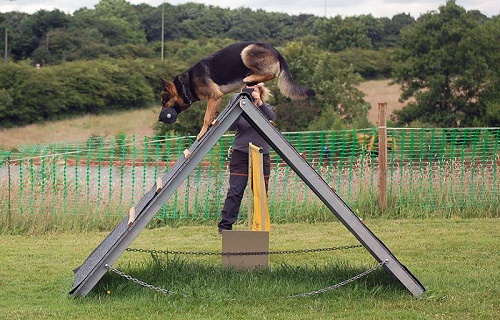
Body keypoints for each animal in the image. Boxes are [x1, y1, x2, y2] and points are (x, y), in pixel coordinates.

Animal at [160, 41, 314, 140]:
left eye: (164, 100)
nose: (160, 118)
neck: (185, 84)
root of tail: (278, 53)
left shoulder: (214, 96)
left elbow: (206, 118)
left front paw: (202, 133)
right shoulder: (215, 99)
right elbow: (211, 114)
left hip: (246, 52)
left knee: (272, 74)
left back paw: (249, 78)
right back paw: (251, 79)